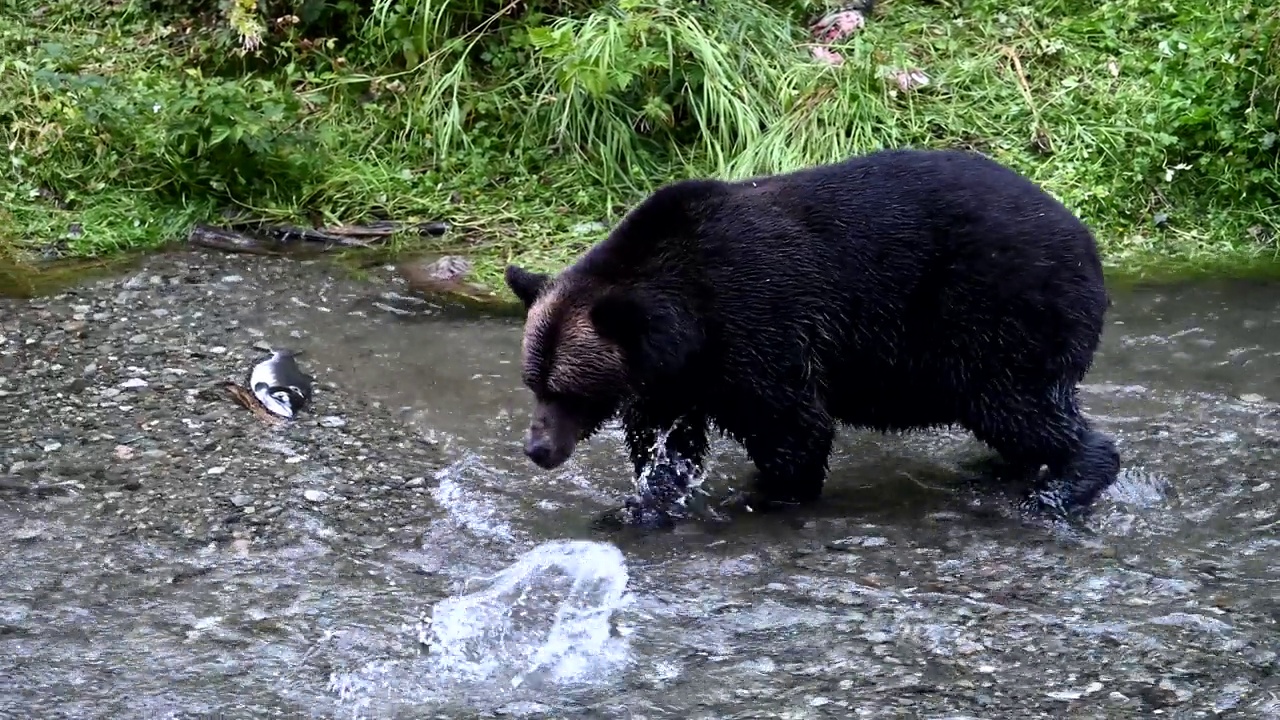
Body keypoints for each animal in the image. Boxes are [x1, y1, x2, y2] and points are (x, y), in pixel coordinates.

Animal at [499, 147, 1121, 515]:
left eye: (568, 391)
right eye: (534, 384)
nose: (538, 449)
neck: (686, 323)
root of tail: (1086, 239)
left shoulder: (758, 322)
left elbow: (792, 426)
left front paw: (766, 494)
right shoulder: (677, 377)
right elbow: (667, 443)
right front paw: (647, 500)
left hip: (999, 312)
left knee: (1015, 404)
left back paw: (1063, 486)